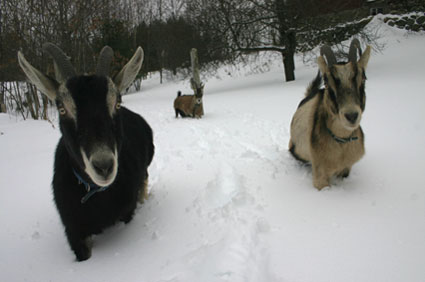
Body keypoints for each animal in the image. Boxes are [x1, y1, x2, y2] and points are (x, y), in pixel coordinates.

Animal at [288, 39, 372, 189]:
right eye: (327, 83)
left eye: (363, 79)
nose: (351, 116)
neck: (341, 142)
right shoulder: (319, 173)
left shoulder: (346, 168)